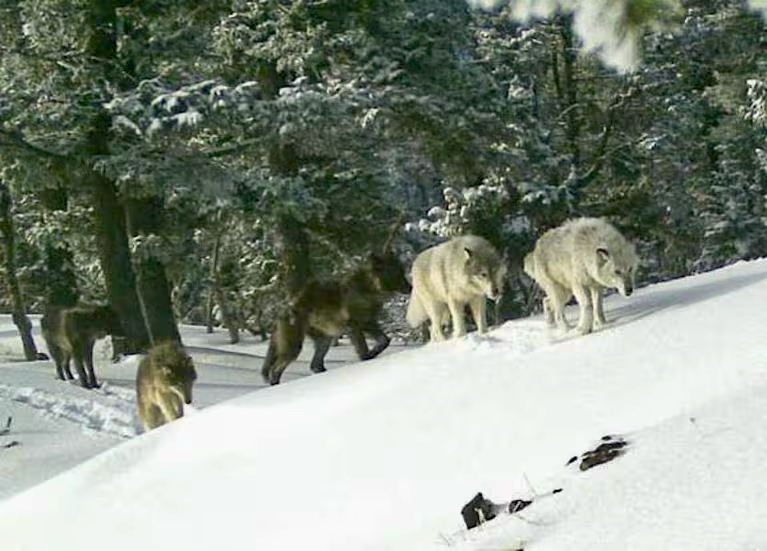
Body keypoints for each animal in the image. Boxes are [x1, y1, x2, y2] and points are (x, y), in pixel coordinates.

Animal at [261, 251, 411, 386]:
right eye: (396, 274)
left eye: (402, 272)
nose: (411, 287)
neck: (368, 290)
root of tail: (282, 308)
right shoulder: (354, 326)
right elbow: (363, 349)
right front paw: (367, 359)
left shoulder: (369, 322)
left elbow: (385, 340)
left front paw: (374, 353)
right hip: (294, 347)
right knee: (275, 370)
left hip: (324, 341)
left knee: (314, 365)